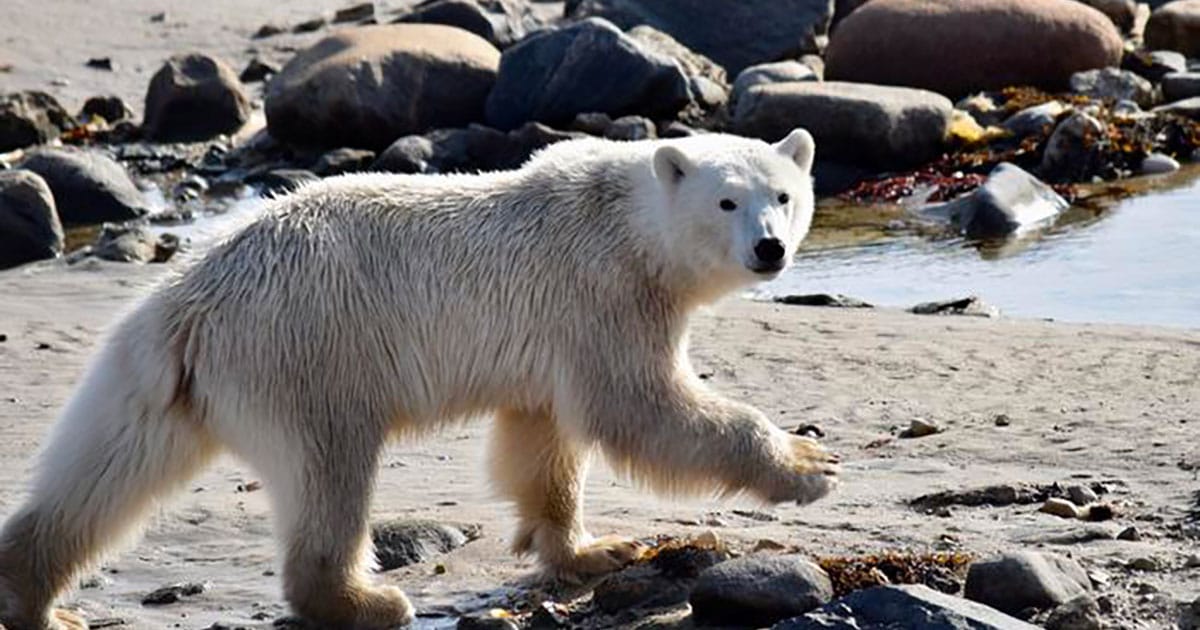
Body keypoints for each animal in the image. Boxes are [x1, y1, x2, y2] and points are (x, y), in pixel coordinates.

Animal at [0, 129, 838, 630]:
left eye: (784, 195)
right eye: (727, 200)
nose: (769, 248)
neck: (627, 224)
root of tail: (191, 300)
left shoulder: (551, 336)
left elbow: (541, 440)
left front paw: (592, 550)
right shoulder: (603, 294)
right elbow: (639, 407)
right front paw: (807, 463)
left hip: (149, 378)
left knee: (102, 471)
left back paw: (33, 595)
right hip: (309, 347)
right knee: (330, 469)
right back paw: (365, 598)